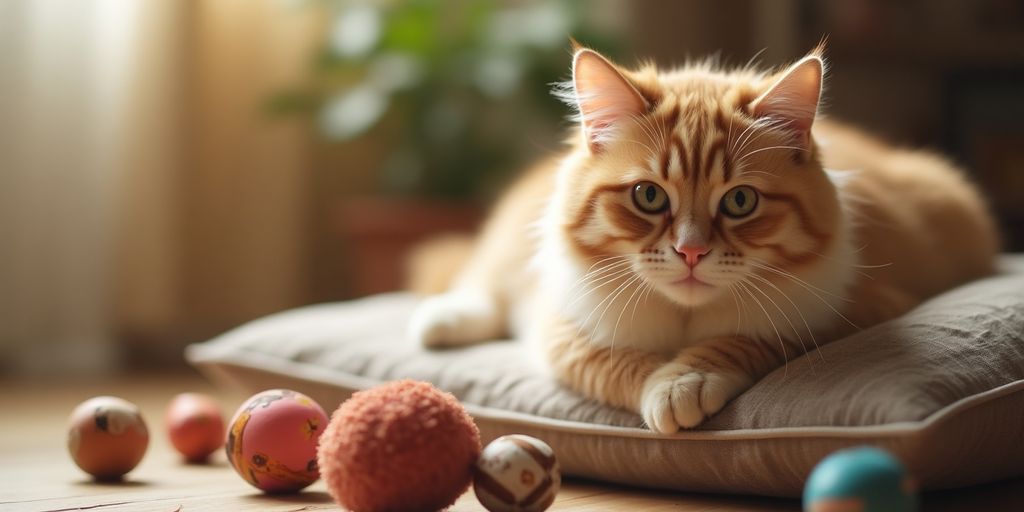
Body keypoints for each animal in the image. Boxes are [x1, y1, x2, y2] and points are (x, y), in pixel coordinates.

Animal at [403, 45, 995, 432]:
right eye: (648, 196)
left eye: (740, 202)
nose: (691, 252)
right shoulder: (563, 326)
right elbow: (613, 362)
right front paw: (664, 388)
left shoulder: (844, 312)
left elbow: (738, 341)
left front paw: (684, 383)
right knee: (479, 284)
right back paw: (439, 322)